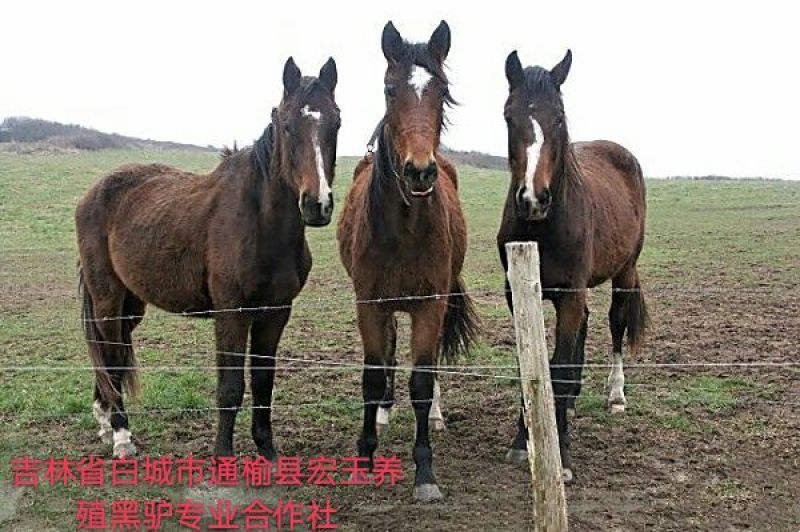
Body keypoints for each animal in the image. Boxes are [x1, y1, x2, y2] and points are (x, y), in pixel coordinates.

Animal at [75, 57, 340, 458]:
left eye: (336, 121)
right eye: (286, 124)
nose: (317, 204)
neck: (260, 222)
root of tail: (93, 192)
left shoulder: (276, 312)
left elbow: (263, 383)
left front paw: (267, 450)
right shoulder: (231, 313)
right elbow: (230, 387)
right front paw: (223, 456)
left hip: (131, 303)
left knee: (111, 357)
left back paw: (106, 423)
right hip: (107, 298)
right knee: (111, 354)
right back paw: (121, 436)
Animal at [337, 20, 478, 502]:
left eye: (443, 90)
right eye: (388, 88)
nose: (420, 171)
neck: (402, 227)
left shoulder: (430, 304)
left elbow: (421, 379)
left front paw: (425, 472)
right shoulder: (369, 304)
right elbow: (372, 376)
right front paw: (364, 458)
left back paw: (434, 412)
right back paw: (383, 412)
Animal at [497, 50, 649, 483]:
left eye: (560, 117)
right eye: (509, 115)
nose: (533, 198)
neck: (544, 228)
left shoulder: (569, 294)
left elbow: (559, 367)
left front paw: (561, 453)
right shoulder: (517, 296)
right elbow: (532, 366)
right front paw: (523, 440)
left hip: (625, 271)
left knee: (615, 322)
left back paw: (615, 394)